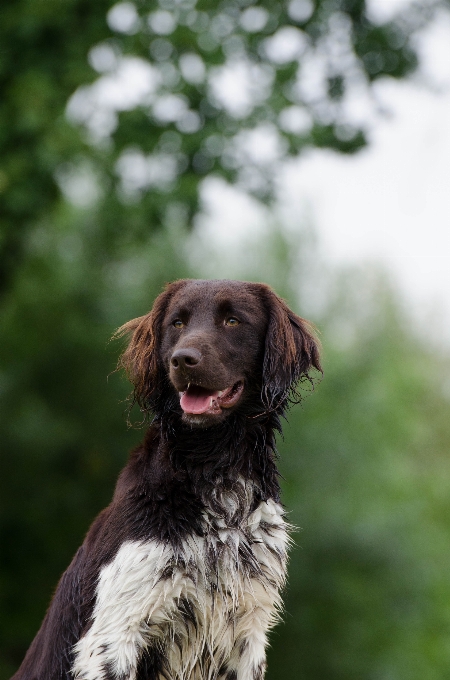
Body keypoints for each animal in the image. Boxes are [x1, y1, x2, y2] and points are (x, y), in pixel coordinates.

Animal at [12, 278, 322, 676]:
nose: (183, 359)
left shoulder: (248, 636)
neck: (214, 477)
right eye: (177, 323)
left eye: (233, 321)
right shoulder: (114, 636)